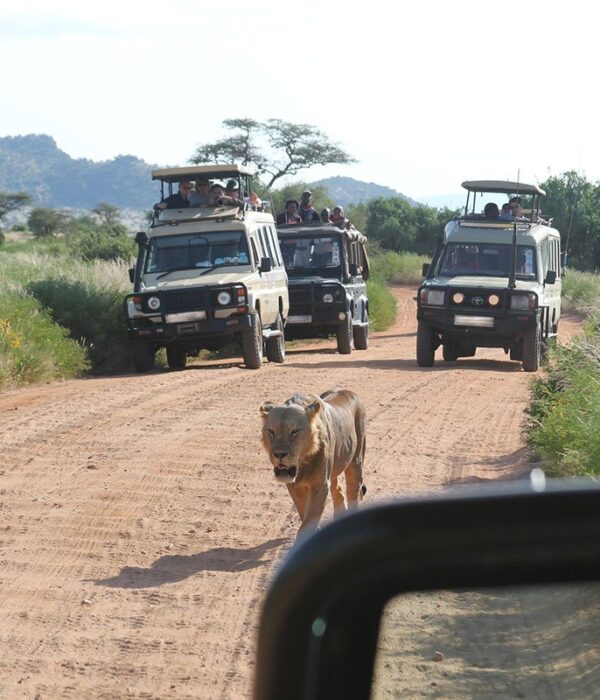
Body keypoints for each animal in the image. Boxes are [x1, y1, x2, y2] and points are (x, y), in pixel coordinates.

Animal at [260, 389, 366, 536]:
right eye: (271, 431)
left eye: (295, 431)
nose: (279, 454)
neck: (303, 463)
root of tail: (349, 392)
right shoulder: (294, 486)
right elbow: (303, 511)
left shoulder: (320, 485)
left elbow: (310, 518)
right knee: (337, 489)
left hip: (355, 460)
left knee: (353, 491)